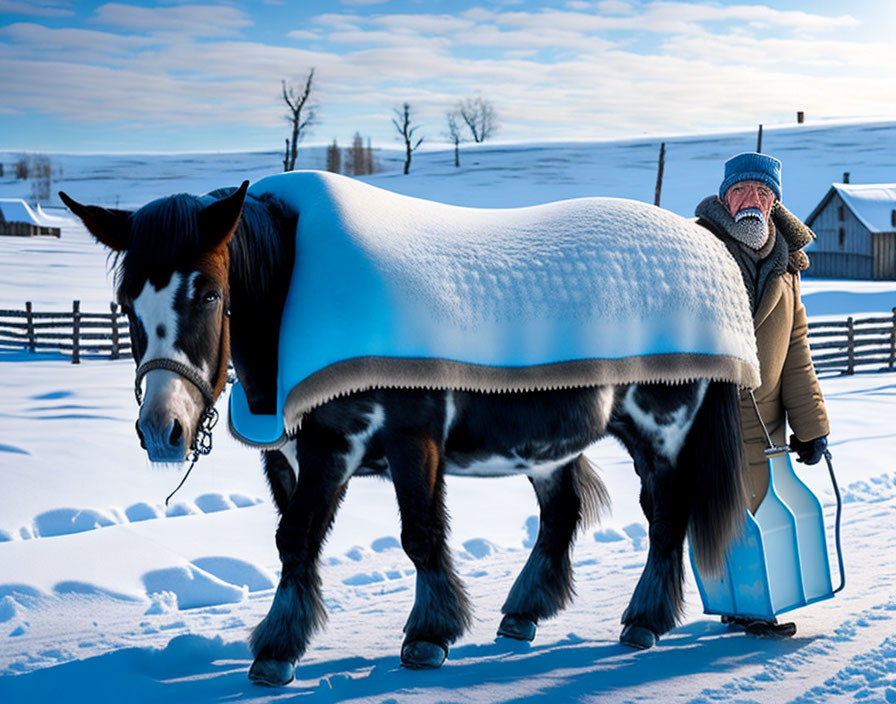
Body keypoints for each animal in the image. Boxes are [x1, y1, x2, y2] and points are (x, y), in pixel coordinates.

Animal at [63, 177, 744, 688]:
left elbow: (416, 534)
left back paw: (645, 619)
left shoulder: (400, 443)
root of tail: (710, 249)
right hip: (549, 446)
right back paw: (524, 613)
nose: (163, 429)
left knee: (665, 516)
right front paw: (280, 645)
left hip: (660, 430)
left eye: (207, 293)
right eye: (126, 300)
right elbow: (294, 542)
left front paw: (428, 634)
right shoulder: (294, 460)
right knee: (562, 514)